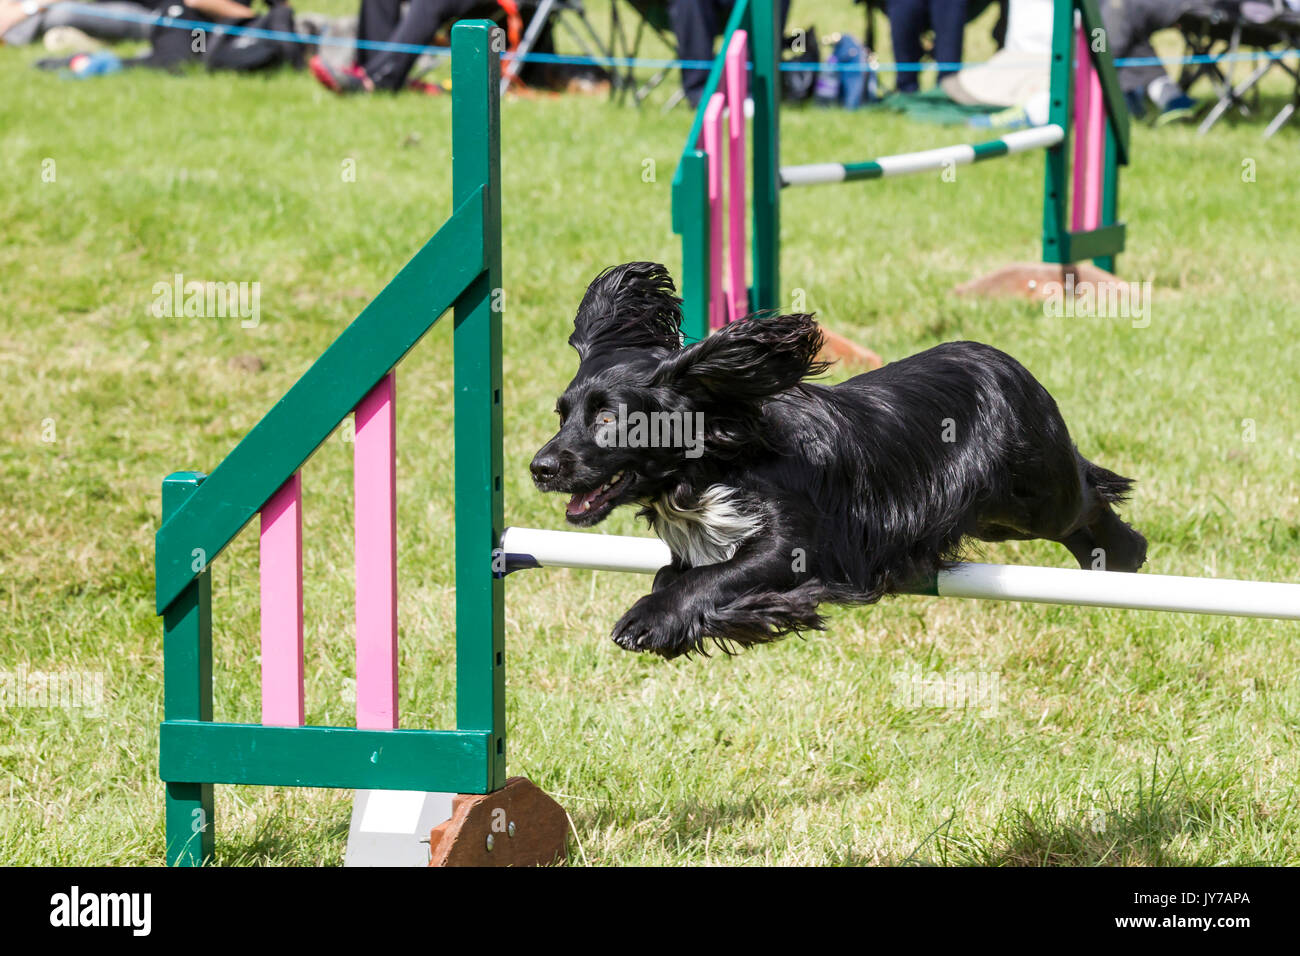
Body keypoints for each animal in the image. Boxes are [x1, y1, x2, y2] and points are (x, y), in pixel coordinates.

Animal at [527, 265, 1149, 660]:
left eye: (609, 419)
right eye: (562, 414)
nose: (540, 467)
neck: (716, 465)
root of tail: (1005, 361)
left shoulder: (802, 541)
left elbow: (712, 575)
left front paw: (647, 621)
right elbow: (678, 572)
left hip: (1036, 497)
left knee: (1087, 499)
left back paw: (1123, 556)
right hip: (998, 521)